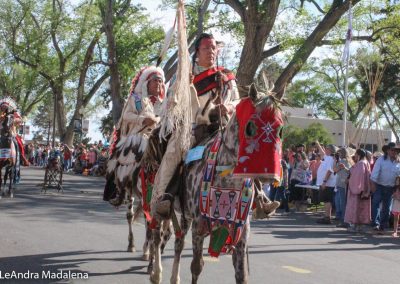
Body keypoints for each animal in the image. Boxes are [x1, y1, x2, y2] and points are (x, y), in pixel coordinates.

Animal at [148, 84, 282, 284]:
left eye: (280, 128)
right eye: (251, 126)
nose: (269, 175)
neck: (227, 180)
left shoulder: (241, 233)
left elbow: (241, 275)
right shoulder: (199, 226)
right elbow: (196, 267)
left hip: (185, 217)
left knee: (178, 243)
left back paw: (174, 277)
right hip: (160, 202)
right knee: (157, 236)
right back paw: (156, 273)